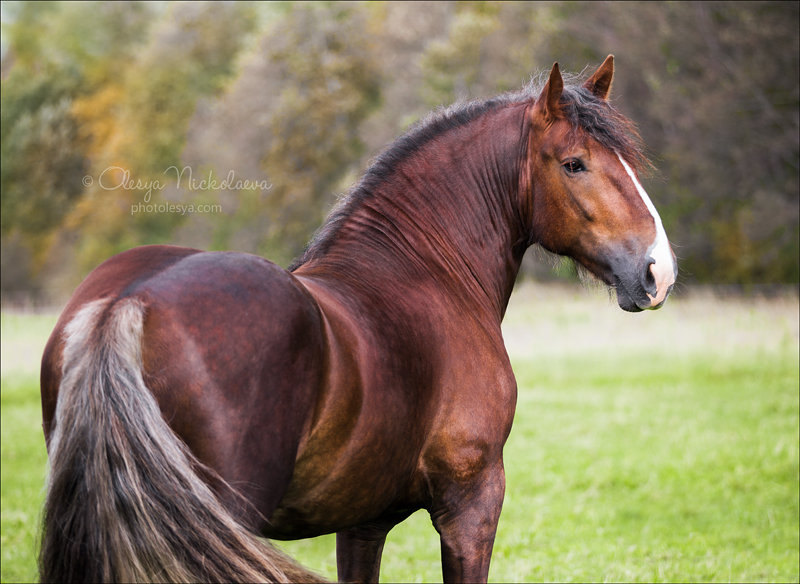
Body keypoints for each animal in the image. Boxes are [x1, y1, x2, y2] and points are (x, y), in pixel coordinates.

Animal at [39, 56, 676, 584]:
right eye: (574, 164)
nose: (657, 270)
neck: (423, 272)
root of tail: (128, 304)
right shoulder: (471, 504)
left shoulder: (362, 521)